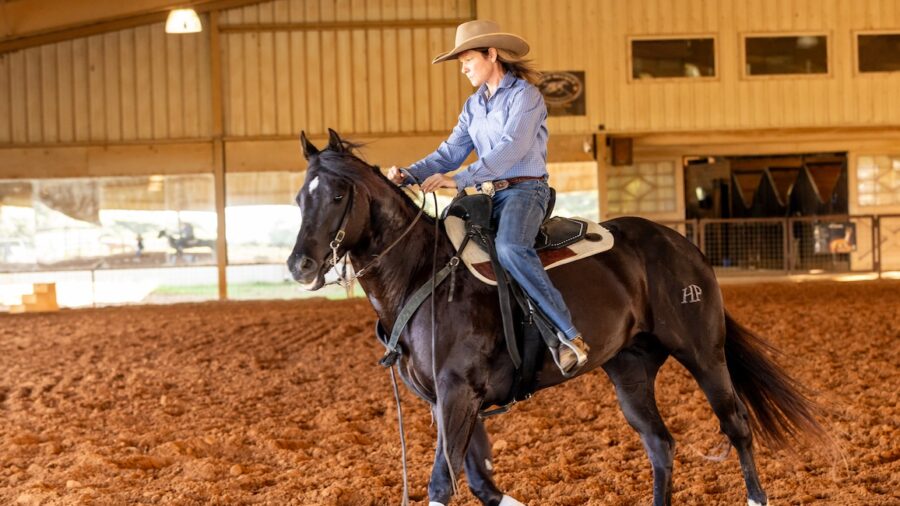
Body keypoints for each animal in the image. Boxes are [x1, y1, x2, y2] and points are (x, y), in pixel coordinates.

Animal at [287, 129, 829, 506]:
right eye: (299, 197)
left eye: (338, 195)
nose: (300, 266)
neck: (425, 272)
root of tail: (682, 245)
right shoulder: (449, 400)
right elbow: (479, 480)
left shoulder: (459, 391)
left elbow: (443, 482)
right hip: (630, 370)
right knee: (660, 444)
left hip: (703, 352)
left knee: (736, 425)